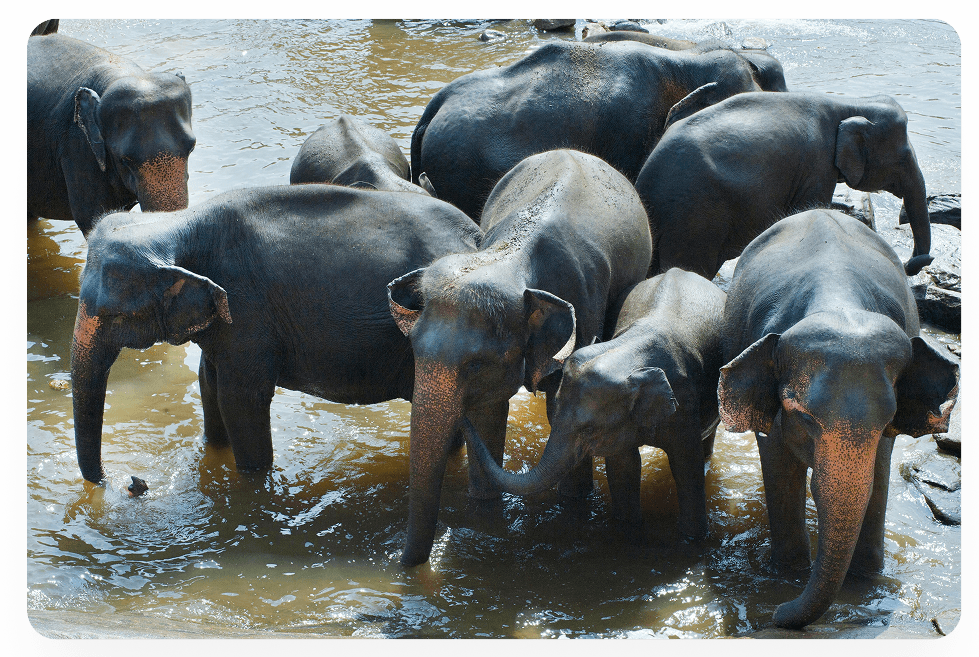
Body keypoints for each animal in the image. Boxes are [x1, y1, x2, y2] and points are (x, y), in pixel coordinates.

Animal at [71, 184, 480, 485]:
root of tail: (478, 237)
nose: (129, 482)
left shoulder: (247, 310)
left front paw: (253, 481)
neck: (179, 223)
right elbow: (209, 382)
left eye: (113, 315)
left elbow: (241, 399)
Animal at [387, 149, 652, 566]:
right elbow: (489, 413)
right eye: (414, 351)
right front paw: (483, 511)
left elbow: (560, 406)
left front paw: (574, 502)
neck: (509, 258)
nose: (400, 561)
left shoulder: (583, 306)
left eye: (475, 364)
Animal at [464, 268, 726, 543]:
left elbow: (687, 466)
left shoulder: (684, 403)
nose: (463, 417)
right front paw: (627, 528)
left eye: (589, 430)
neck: (627, 350)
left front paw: (693, 539)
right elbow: (623, 466)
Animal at [634, 92, 934, 279]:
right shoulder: (817, 168)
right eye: (903, 158)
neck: (849, 103)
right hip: (696, 216)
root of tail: (646, 181)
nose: (914, 262)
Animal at [717, 208, 958, 629]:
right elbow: (778, 465)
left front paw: (866, 580)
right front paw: (788, 577)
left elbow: (879, 476)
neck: (839, 299)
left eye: (889, 417)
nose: (776, 613)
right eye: (802, 417)